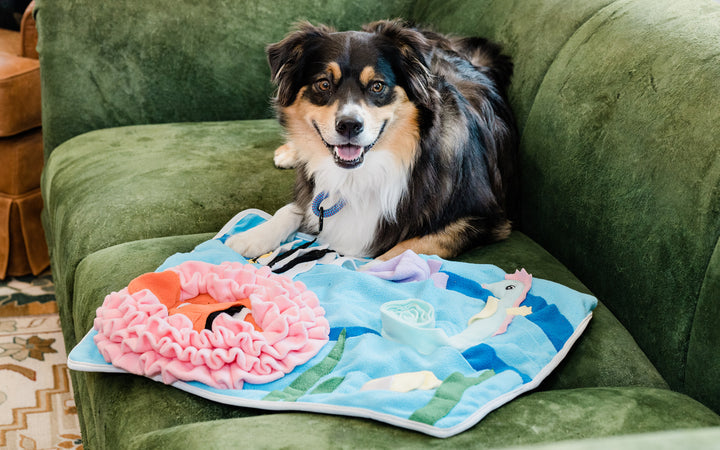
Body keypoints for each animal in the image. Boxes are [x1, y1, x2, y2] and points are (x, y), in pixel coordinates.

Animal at [228, 20, 516, 260]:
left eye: (377, 86)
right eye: (324, 84)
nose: (349, 125)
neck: (362, 172)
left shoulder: (485, 219)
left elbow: (403, 250)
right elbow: (293, 208)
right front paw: (253, 236)